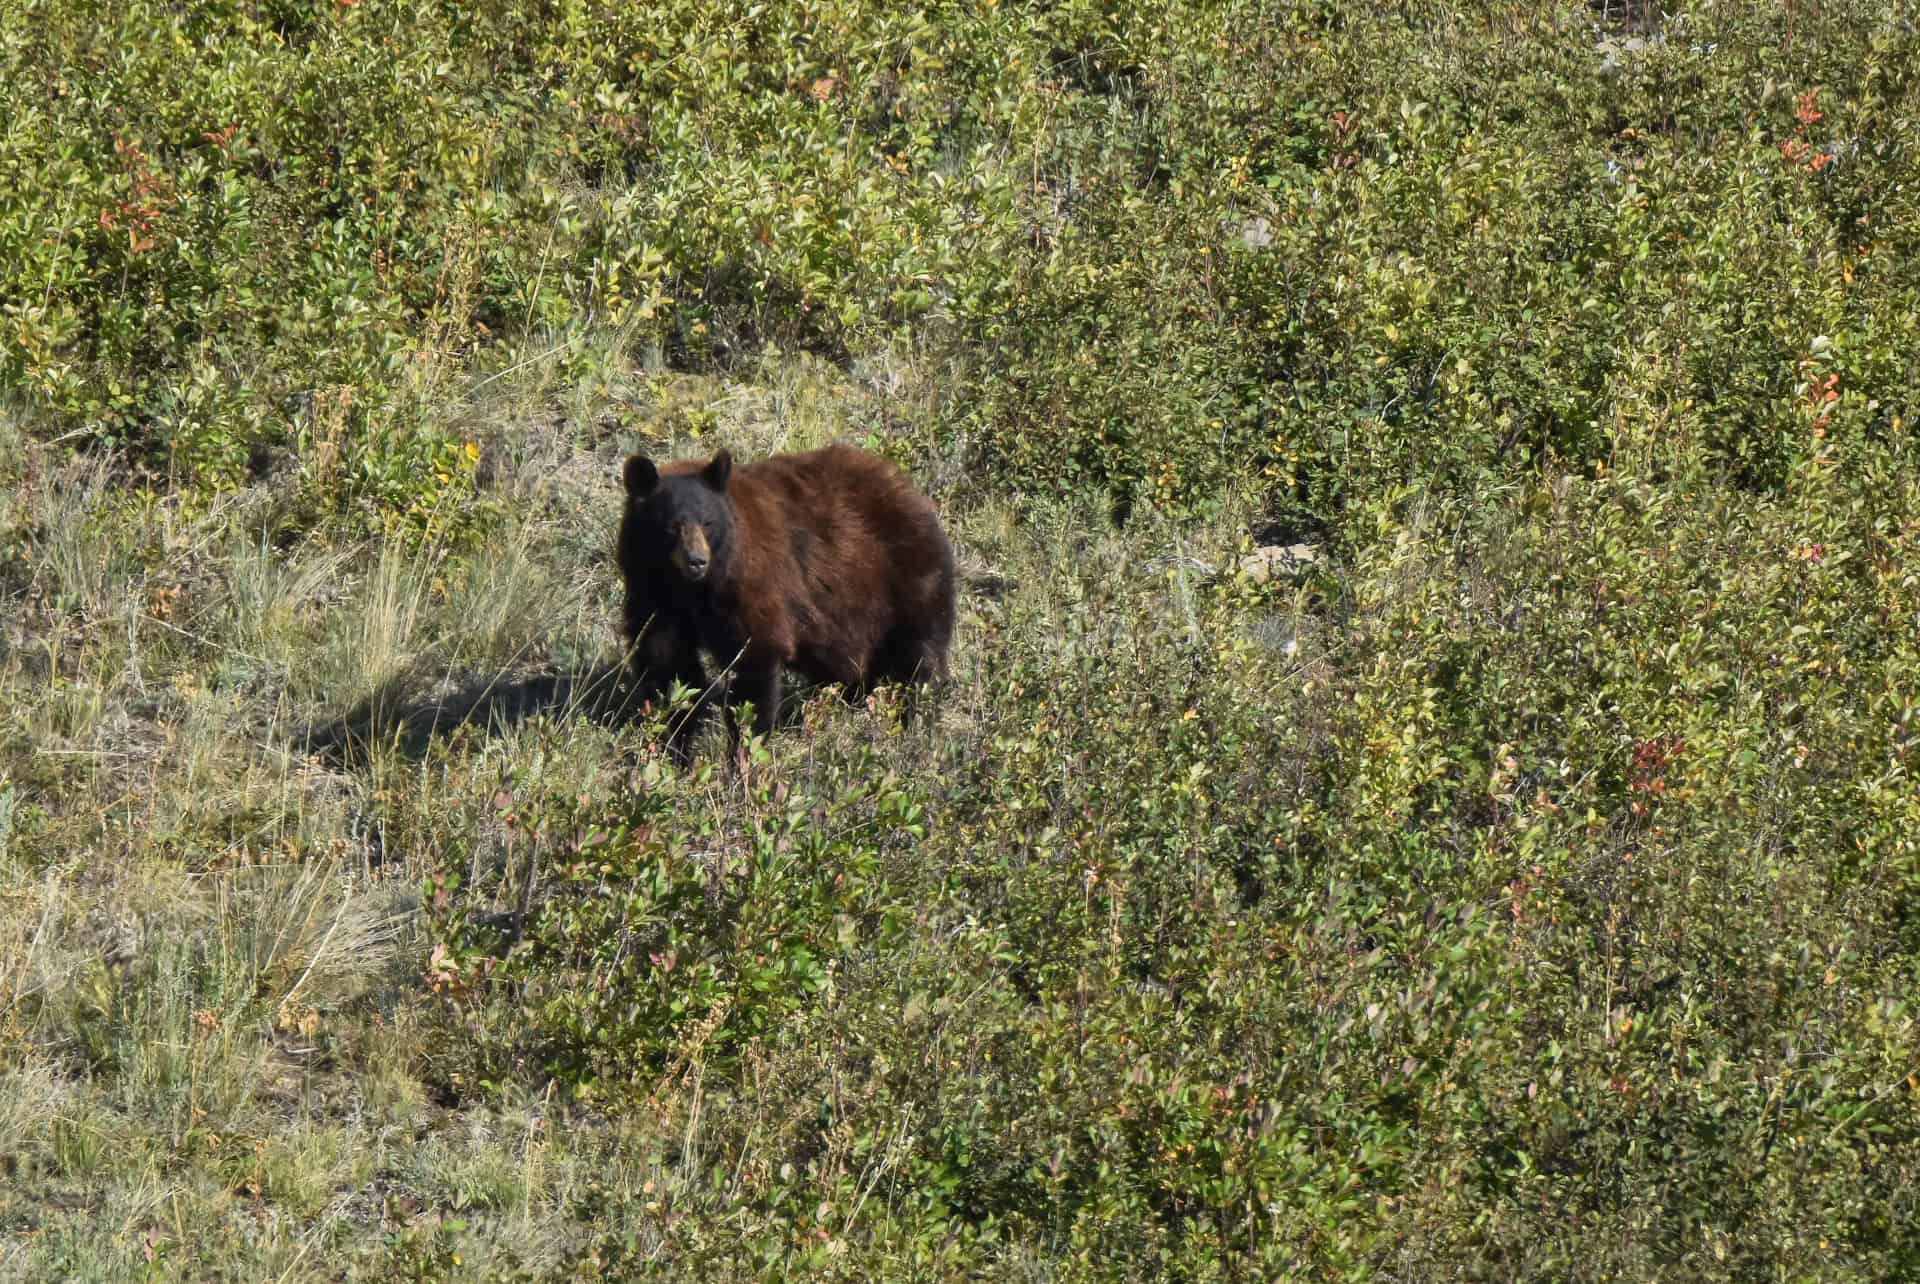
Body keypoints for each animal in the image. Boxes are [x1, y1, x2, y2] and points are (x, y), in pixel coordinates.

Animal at [617, 443, 956, 756]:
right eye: (671, 527)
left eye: (707, 522)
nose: (696, 561)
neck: (692, 589)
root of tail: (907, 486)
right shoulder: (653, 594)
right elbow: (668, 663)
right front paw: (677, 748)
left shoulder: (749, 583)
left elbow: (754, 661)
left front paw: (744, 752)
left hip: (906, 577)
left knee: (920, 655)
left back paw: (916, 721)